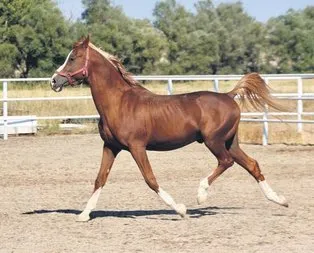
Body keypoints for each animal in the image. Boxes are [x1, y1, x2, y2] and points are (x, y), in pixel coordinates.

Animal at [49, 37, 288, 221]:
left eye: (73, 58)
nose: (54, 81)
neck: (119, 103)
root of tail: (229, 96)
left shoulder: (137, 147)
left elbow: (150, 179)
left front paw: (181, 210)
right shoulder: (110, 146)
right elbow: (100, 178)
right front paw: (84, 215)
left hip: (214, 141)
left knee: (226, 161)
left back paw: (201, 195)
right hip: (230, 142)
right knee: (252, 164)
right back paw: (280, 200)